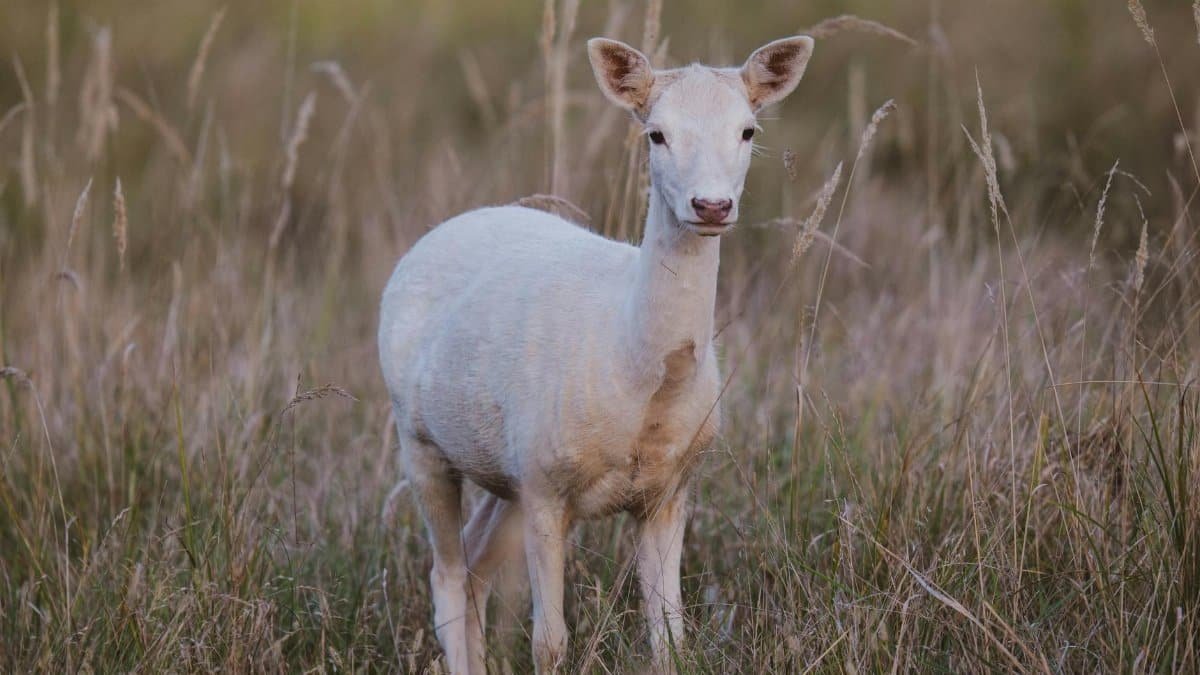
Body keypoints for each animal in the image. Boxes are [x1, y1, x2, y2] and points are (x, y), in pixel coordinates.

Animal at [378, 34, 814, 673]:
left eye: (748, 130)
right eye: (655, 133)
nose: (710, 206)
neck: (640, 381)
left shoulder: (671, 488)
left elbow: (670, 636)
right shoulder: (544, 484)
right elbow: (550, 642)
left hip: (505, 470)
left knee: (476, 565)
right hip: (422, 442)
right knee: (447, 575)